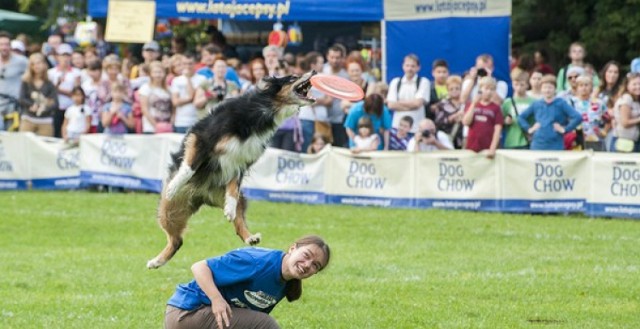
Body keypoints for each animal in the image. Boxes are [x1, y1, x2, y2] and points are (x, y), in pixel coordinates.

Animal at [145, 70, 316, 268]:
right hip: (167, 209)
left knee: (229, 222)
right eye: (292, 77)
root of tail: (202, 195)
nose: (313, 71)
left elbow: (234, 190)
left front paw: (230, 209)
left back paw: (249, 237)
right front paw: (174, 185)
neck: (262, 111)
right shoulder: (202, 137)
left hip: (233, 198)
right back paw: (156, 261)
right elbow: (189, 168)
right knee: (176, 239)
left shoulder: (241, 161)